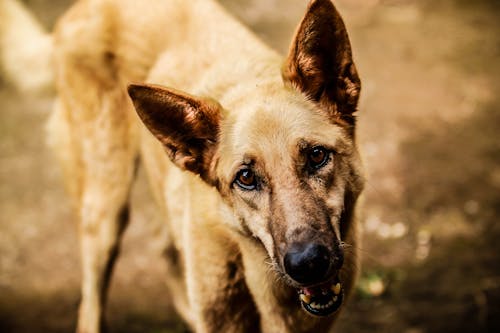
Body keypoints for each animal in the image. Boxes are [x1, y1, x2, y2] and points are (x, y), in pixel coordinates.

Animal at [1, 0, 366, 330]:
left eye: (317, 156)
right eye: (246, 178)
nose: (308, 264)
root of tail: (75, 11)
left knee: (164, 248)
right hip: (104, 211)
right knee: (90, 305)